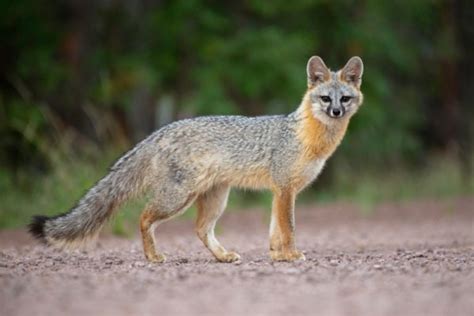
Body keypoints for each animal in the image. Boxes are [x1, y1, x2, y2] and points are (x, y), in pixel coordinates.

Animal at [28, 55, 362, 262]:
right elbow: (288, 229)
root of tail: (162, 130)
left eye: (344, 98)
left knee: (200, 230)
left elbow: (274, 232)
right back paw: (153, 257)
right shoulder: (284, 190)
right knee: (144, 217)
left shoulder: (280, 192)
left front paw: (278, 255)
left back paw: (222, 256)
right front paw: (291, 255)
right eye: (325, 98)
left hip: (214, 199)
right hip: (177, 198)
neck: (308, 138)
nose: (336, 111)